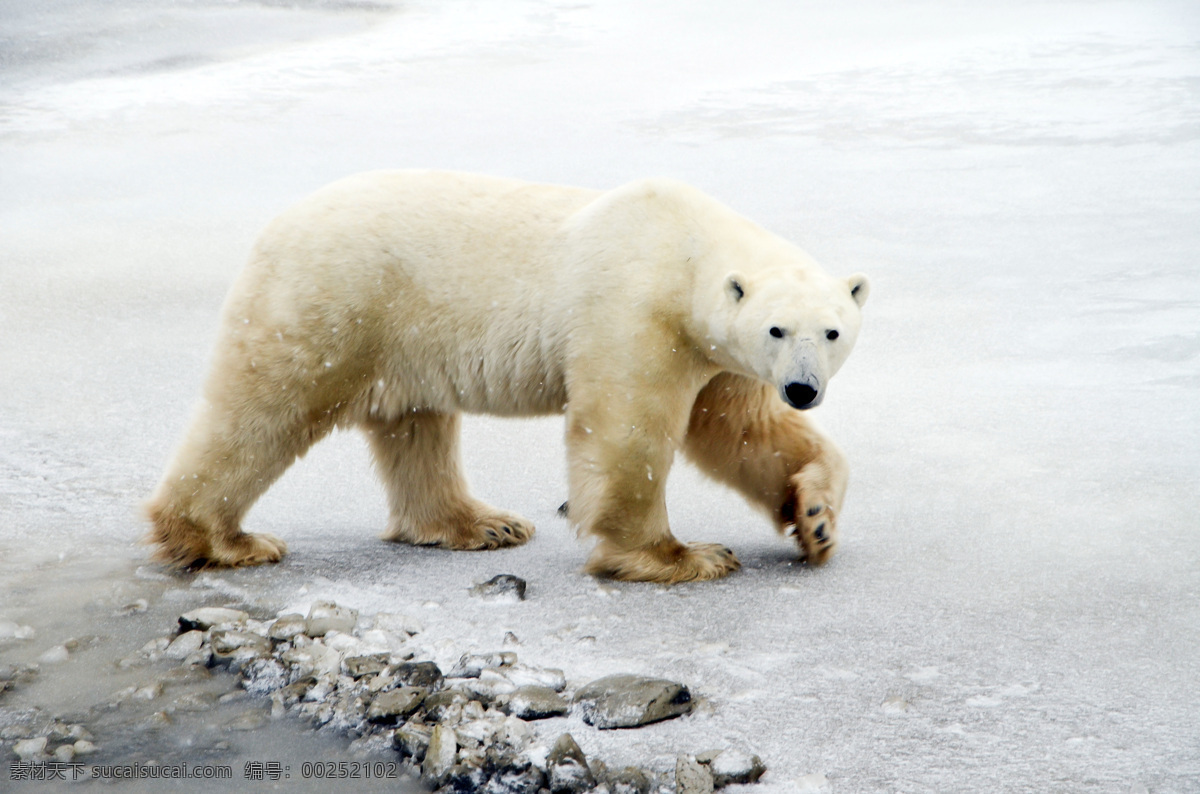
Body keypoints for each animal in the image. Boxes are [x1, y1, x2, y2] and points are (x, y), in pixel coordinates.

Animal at [146, 170, 868, 583]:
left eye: (832, 331)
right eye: (777, 329)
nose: (803, 388)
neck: (684, 250)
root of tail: (276, 223)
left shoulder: (716, 353)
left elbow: (742, 433)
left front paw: (816, 521)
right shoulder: (634, 311)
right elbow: (627, 431)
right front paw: (684, 557)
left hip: (401, 330)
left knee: (416, 428)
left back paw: (482, 525)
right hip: (334, 300)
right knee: (266, 407)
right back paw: (219, 540)